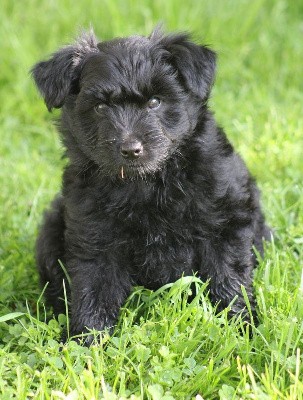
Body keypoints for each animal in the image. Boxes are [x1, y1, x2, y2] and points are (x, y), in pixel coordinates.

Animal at [32, 28, 270, 340]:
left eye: (155, 101)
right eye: (100, 107)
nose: (131, 149)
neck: (146, 183)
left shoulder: (224, 223)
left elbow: (228, 278)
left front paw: (242, 329)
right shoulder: (94, 236)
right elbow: (92, 290)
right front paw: (85, 341)